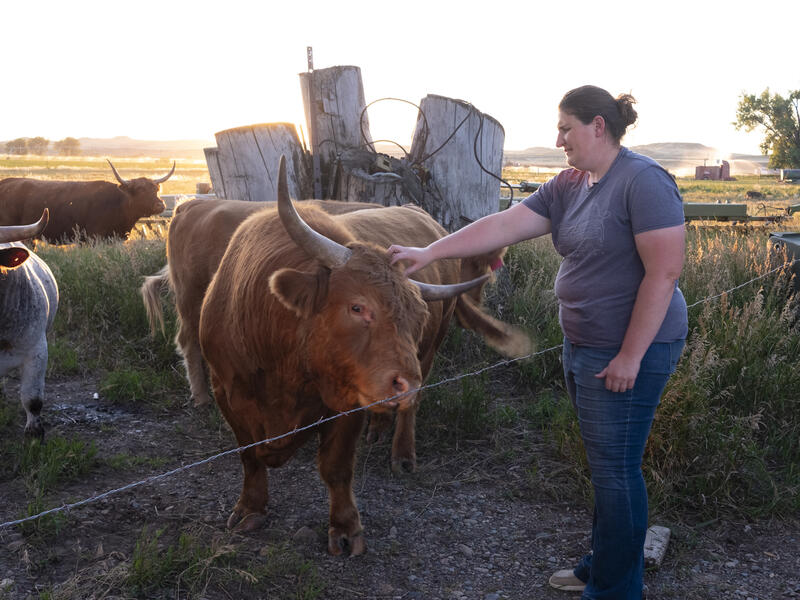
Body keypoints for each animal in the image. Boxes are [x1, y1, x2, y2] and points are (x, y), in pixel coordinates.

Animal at [196, 156, 528, 552]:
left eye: (418, 317)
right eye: (357, 307)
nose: (407, 384)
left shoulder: (348, 400)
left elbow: (336, 466)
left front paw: (345, 529)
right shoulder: (226, 390)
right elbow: (248, 455)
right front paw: (250, 508)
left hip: (429, 353)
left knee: (408, 414)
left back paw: (402, 455)